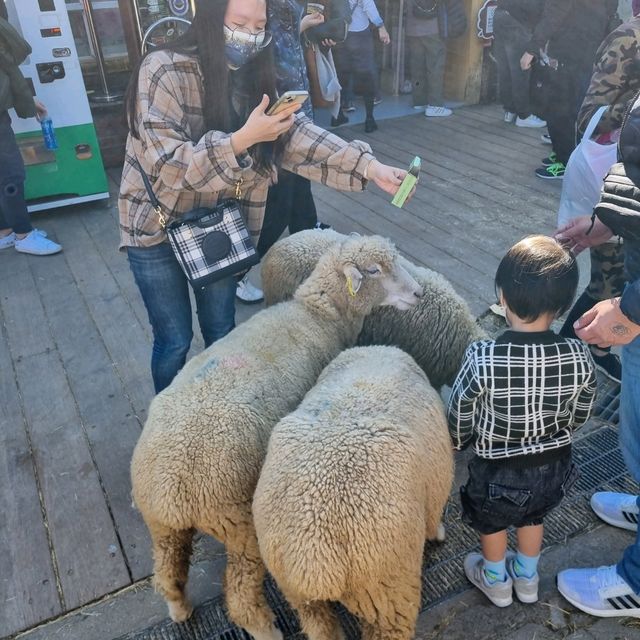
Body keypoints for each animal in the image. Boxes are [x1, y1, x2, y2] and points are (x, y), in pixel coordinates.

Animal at [129, 235, 422, 640]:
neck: (317, 314)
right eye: (375, 270)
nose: (419, 293)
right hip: (238, 524)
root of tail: (172, 490)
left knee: (167, 575)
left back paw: (180, 610)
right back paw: (266, 629)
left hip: (163, 528)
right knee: (241, 599)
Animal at [252, 344, 452, 640]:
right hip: (387, 592)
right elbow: (435, 517)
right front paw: (438, 533)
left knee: (321, 628)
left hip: (302, 599)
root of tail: (313, 552)